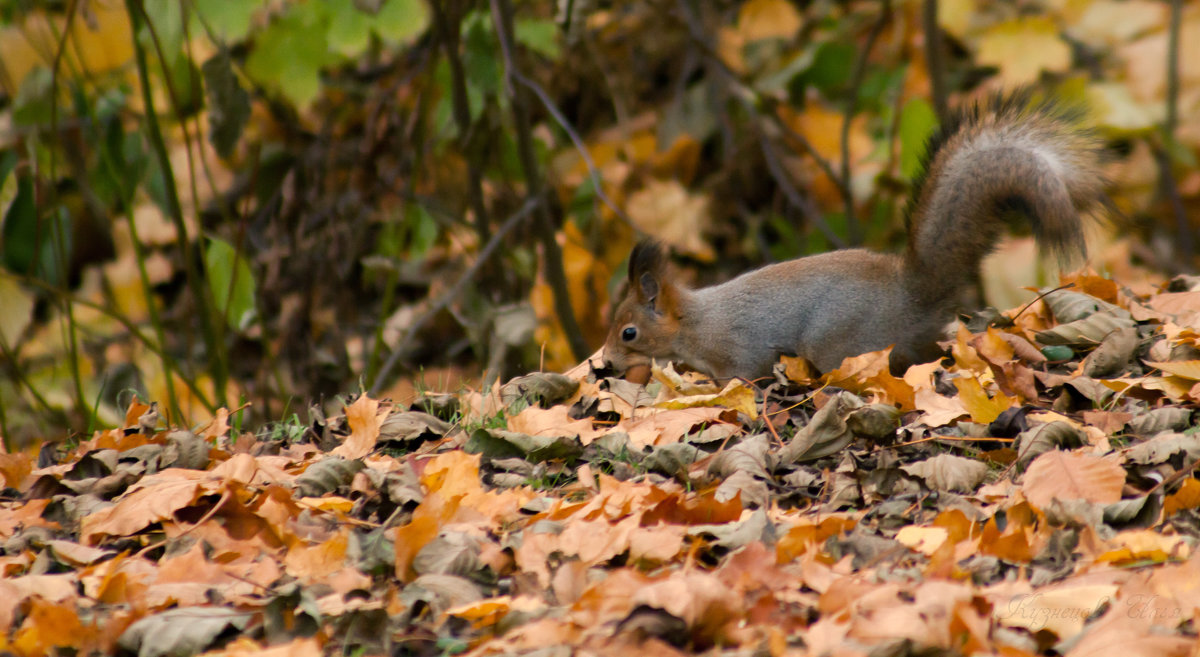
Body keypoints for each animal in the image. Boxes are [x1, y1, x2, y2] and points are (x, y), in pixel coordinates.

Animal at [604, 91, 1108, 378]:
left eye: (629, 332)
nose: (606, 361)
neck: (694, 322)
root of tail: (913, 292)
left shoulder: (738, 353)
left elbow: (744, 378)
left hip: (841, 341)